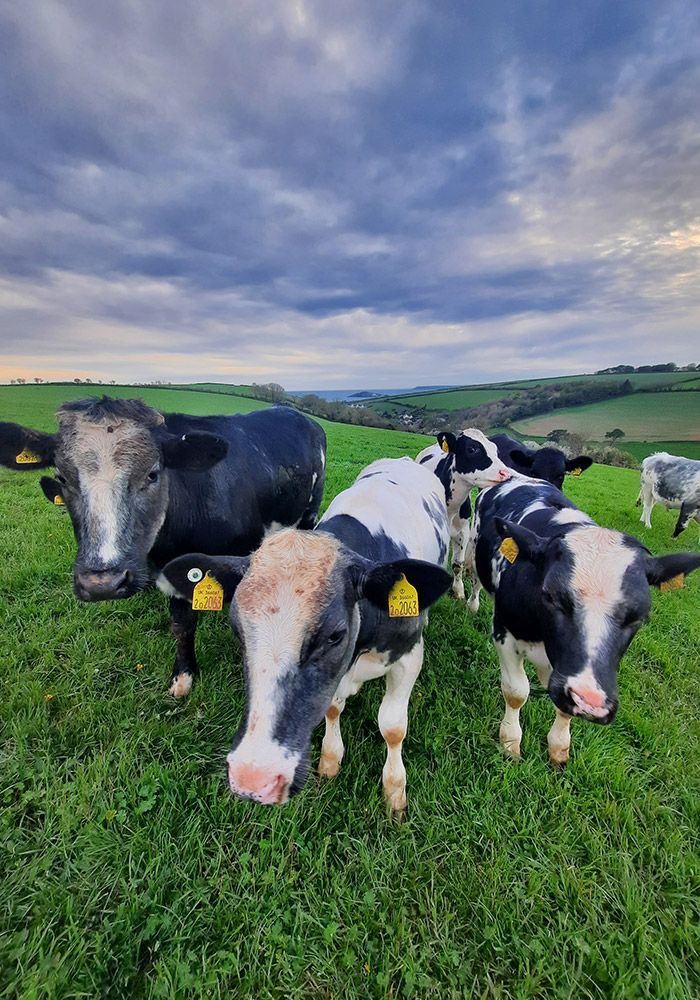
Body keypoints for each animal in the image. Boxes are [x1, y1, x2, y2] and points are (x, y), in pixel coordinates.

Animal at [0, 396, 326, 696]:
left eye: (152, 474)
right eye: (62, 477)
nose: (102, 583)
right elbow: (182, 625)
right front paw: (183, 675)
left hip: (309, 514)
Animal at [157, 457, 452, 817]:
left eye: (335, 635)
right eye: (237, 630)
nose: (254, 777)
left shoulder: (409, 655)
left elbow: (393, 727)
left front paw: (394, 790)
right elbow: (332, 708)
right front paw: (330, 760)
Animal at [415, 429, 511, 599]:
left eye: (496, 451)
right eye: (472, 449)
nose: (505, 473)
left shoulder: (463, 532)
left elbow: (457, 564)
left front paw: (458, 590)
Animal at [469, 477, 700, 764]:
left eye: (640, 616)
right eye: (550, 595)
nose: (590, 701)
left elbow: (562, 709)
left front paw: (559, 747)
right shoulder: (505, 632)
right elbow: (516, 692)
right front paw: (511, 742)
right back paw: (472, 604)